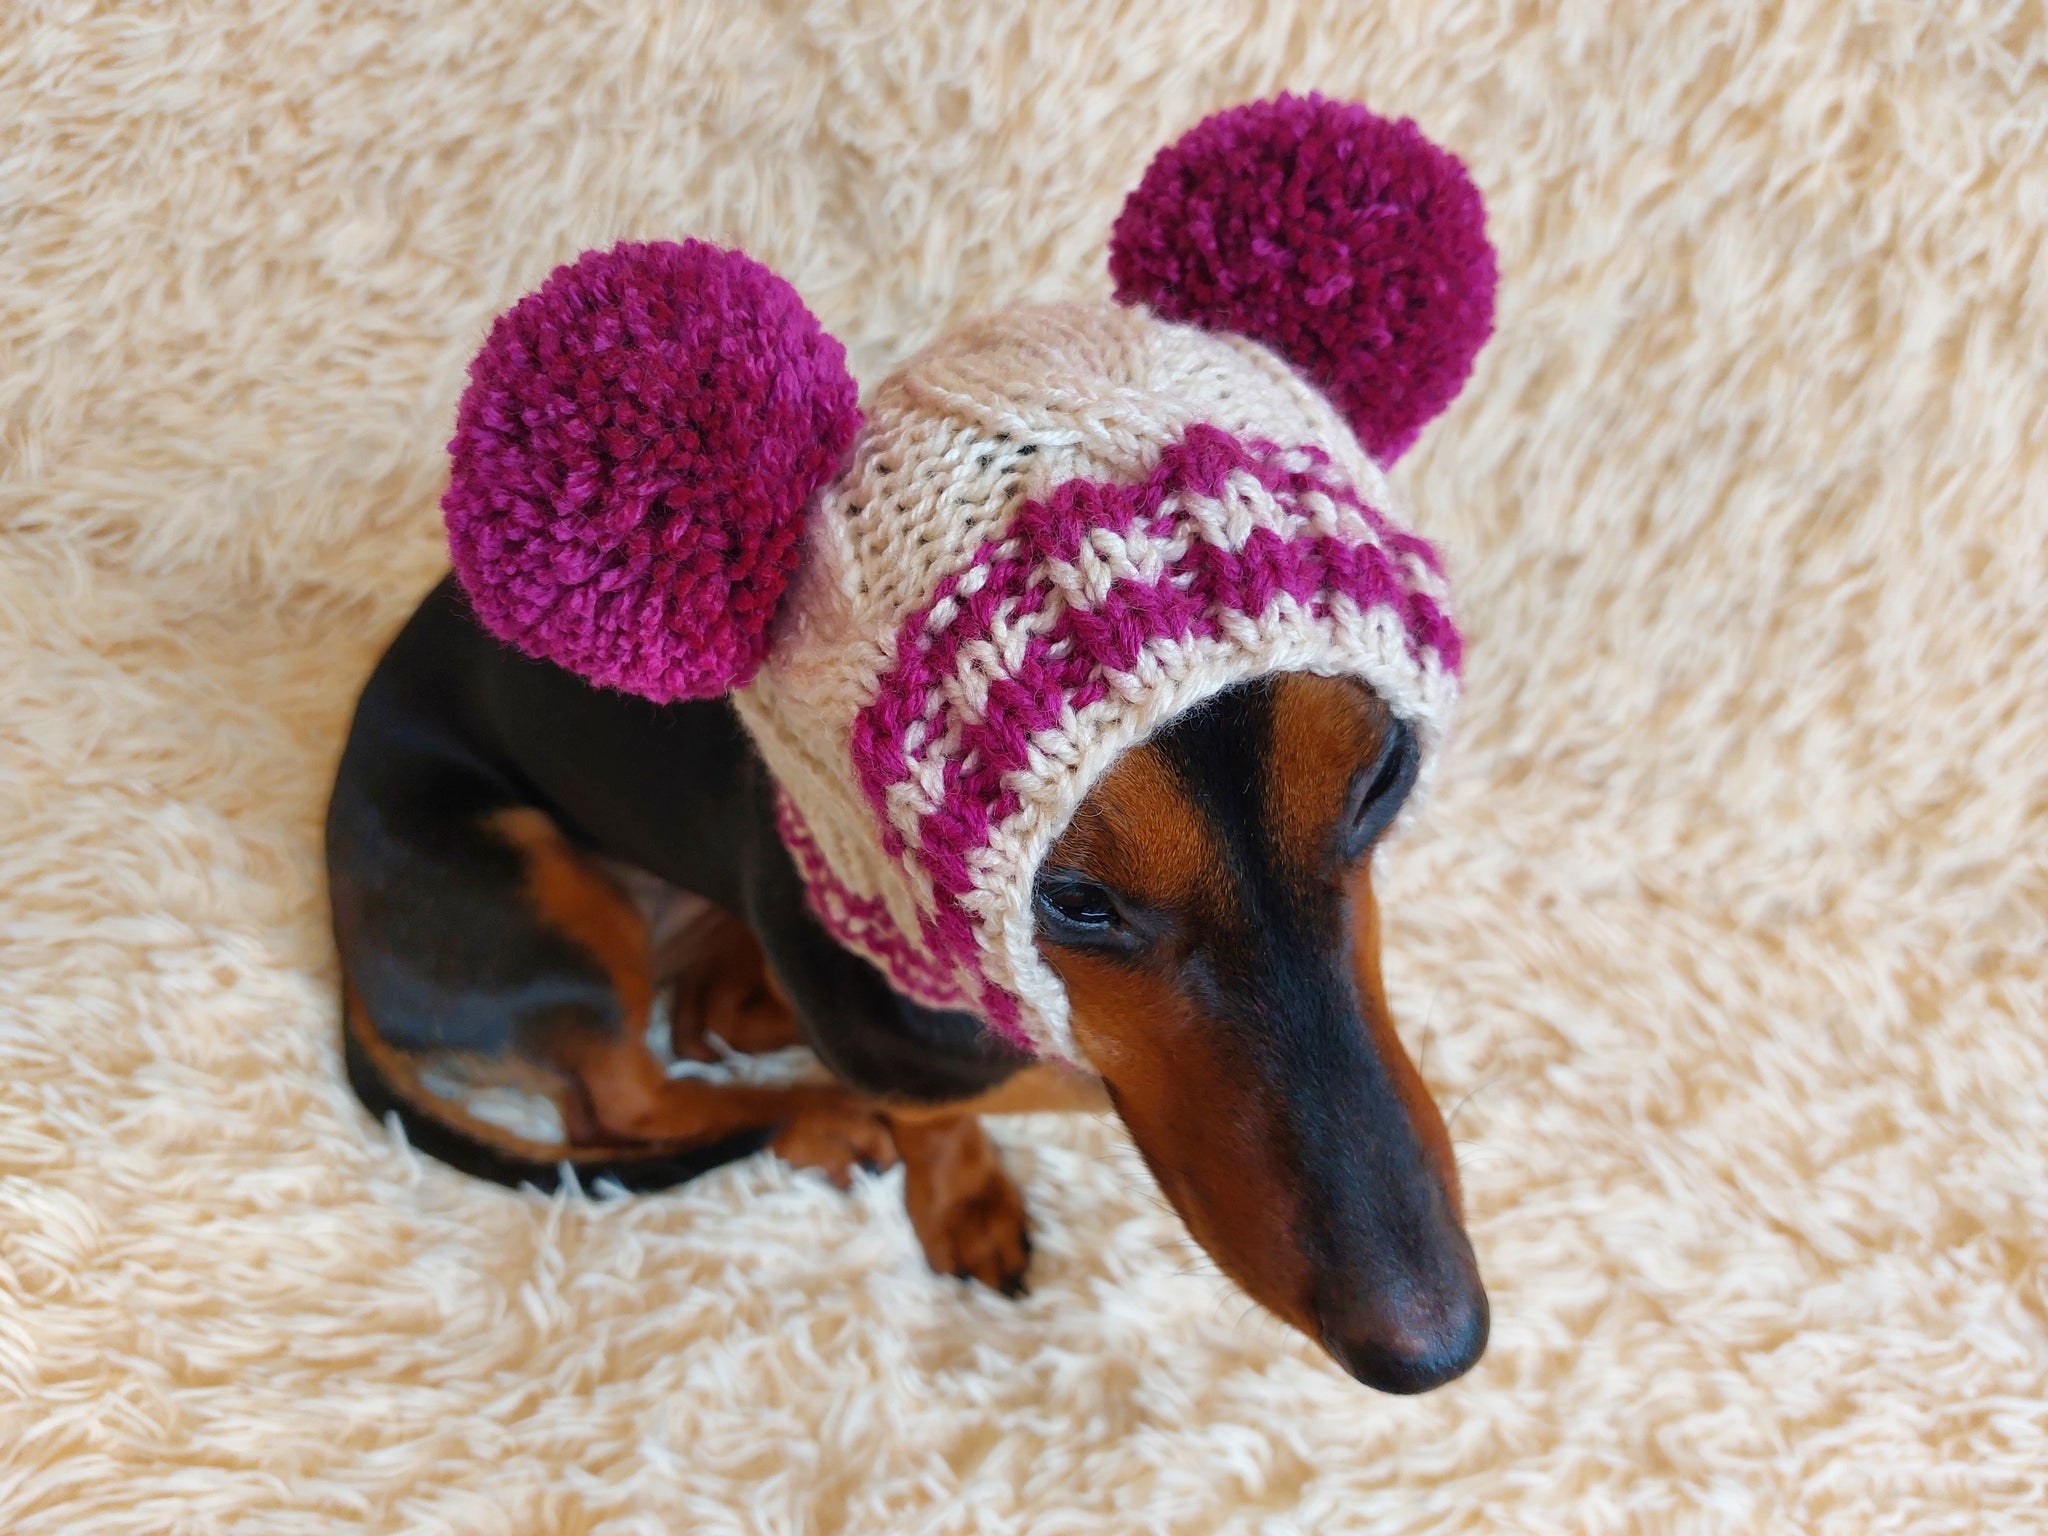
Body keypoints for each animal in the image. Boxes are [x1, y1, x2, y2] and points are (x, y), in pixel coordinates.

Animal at [327, 577, 1482, 1392]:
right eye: (1072, 898)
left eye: (1382, 780)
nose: (1435, 1345)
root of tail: (349, 959)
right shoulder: (874, 1014)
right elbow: (946, 1107)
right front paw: (964, 1194)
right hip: (538, 881)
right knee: (623, 1100)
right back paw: (819, 1117)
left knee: (679, 1037)